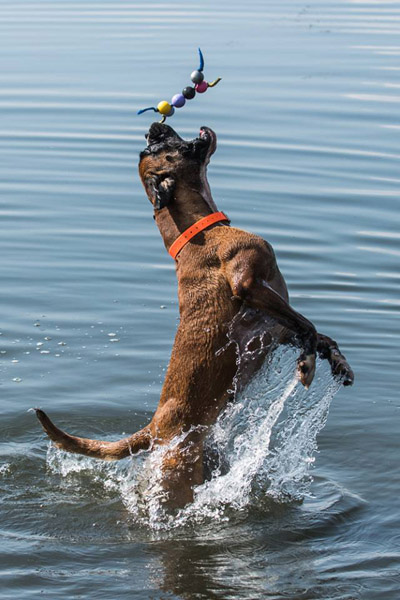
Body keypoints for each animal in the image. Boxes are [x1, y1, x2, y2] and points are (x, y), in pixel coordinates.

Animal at [35, 124, 354, 508]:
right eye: (154, 148)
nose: (152, 128)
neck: (199, 231)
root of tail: (155, 428)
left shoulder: (273, 328)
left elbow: (318, 335)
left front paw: (337, 364)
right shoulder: (249, 286)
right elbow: (309, 326)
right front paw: (307, 367)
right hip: (176, 478)